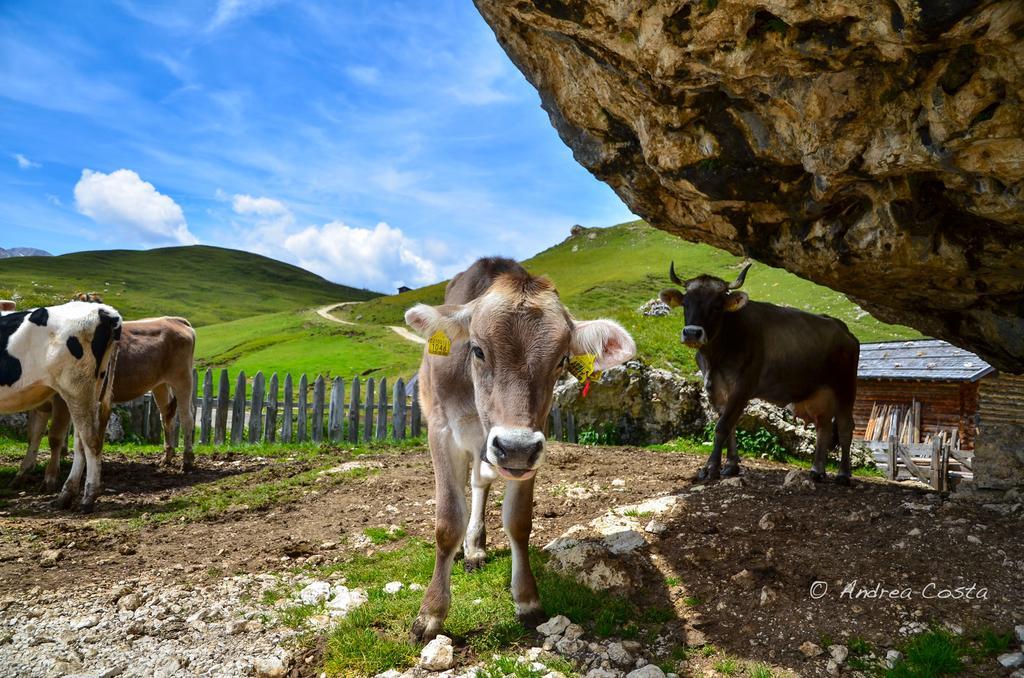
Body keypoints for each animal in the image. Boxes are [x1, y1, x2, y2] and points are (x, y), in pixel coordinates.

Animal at [0, 301, 121, 512]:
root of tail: (103, 310)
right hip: (89, 391)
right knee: (81, 442)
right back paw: (66, 495)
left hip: (75, 390)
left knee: (91, 441)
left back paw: (88, 497)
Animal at [14, 315, 196, 491]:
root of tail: (173, 319)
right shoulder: (41, 405)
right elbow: (34, 436)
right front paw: (23, 473)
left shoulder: (62, 400)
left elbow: (54, 438)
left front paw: (49, 479)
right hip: (160, 385)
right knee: (166, 416)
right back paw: (167, 458)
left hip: (182, 379)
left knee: (187, 418)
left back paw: (186, 461)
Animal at [403, 259, 634, 643]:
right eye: (478, 350)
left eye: (562, 360)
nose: (513, 447)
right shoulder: (441, 430)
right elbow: (447, 522)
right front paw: (431, 614)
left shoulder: (534, 445)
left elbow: (519, 521)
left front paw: (527, 600)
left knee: (480, 482)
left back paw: (475, 547)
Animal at [659, 260, 860, 483]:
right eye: (686, 303)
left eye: (717, 306)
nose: (692, 333)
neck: (717, 357)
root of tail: (843, 329)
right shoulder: (717, 389)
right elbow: (730, 425)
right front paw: (731, 466)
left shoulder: (743, 386)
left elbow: (722, 426)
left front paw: (711, 467)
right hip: (820, 395)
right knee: (823, 428)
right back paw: (817, 470)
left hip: (845, 387)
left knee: (845, 427)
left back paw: (843, 474)